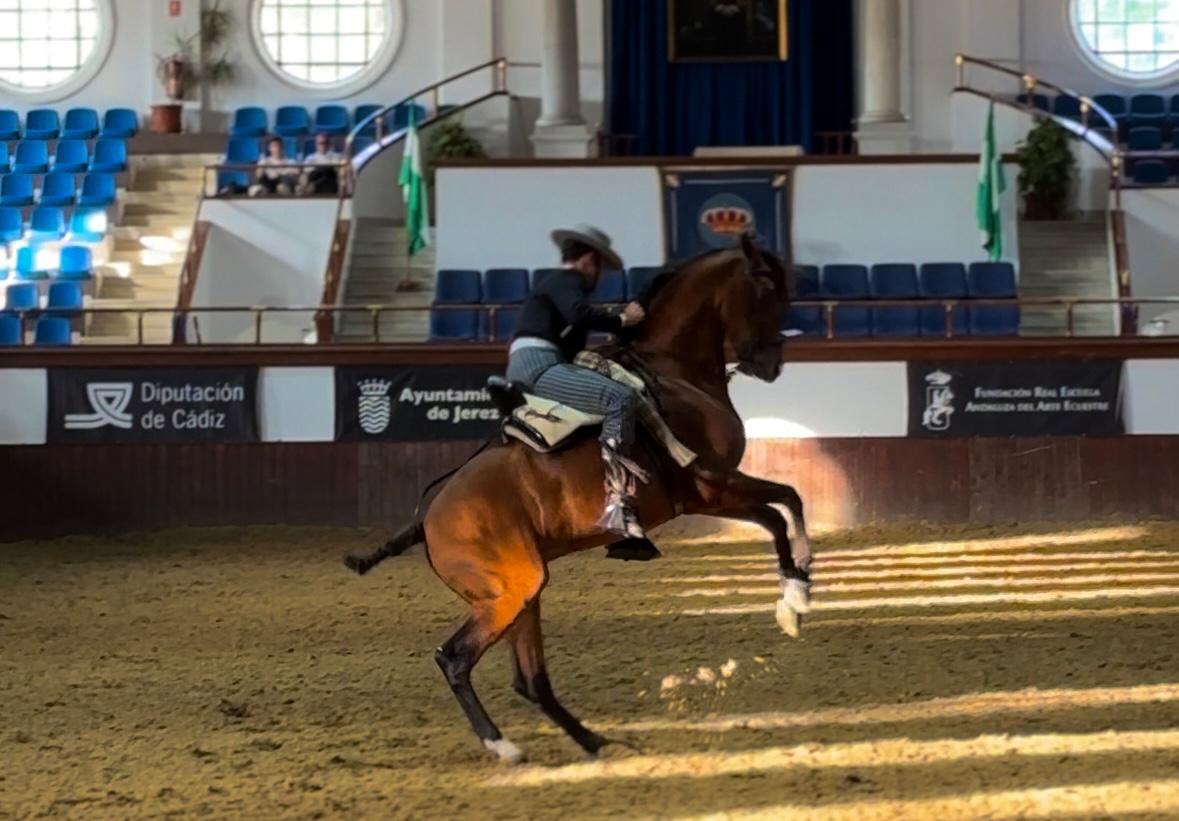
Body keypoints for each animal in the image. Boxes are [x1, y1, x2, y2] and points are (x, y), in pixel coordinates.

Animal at [344, 233, 815, 764]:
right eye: (769, 290)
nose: (774, 363)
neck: (676, 373)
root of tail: (428, 517)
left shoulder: (709, 494)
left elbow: (781, 509)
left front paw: (795, 595)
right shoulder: (711, 485)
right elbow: (785, 506)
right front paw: (795, 601)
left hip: (523, 594)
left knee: (530, 680)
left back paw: (593, 741)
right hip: (509, 593)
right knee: (456, 659)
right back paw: (504, 745)